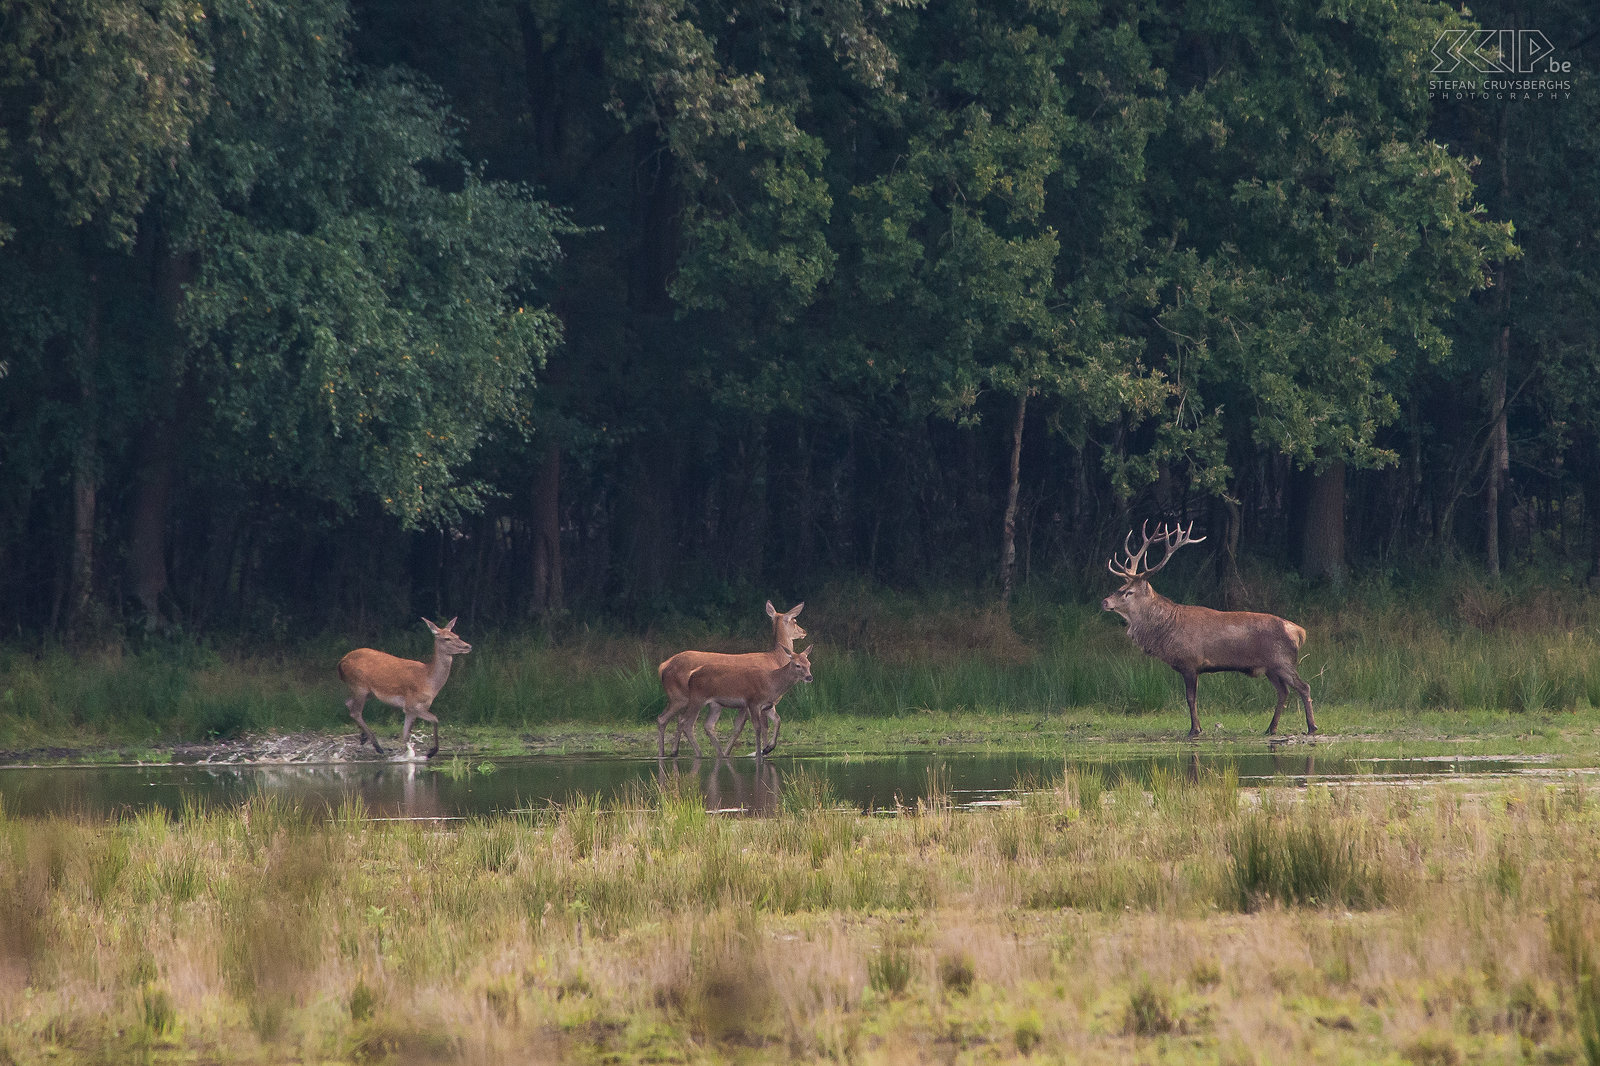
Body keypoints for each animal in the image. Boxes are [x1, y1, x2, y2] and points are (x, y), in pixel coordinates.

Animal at [340, 614, 470, 755]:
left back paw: (364, 737)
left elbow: (405, 735)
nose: (468, 646)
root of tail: (341, 662)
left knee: (348, 702)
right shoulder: (411, 705)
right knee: (355, 712)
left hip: (367, 692)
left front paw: (408, 754)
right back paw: (377, 746)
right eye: (447, 638)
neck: (429, 680)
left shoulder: (411, 710)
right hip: (360, 686)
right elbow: (435, 719)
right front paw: (431, 752)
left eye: (457, 635)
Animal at [656, 598, 800, 755]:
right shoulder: (756, 700)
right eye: (795, 620)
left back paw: (670, 752)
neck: (775, 660)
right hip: (680, 696)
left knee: (673, 719)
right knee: (668, 719)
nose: (804, 631)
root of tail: (663, 665)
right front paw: (762, 750)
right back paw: (672, 752)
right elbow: (761, 727)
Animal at [681, 643, 819, 758]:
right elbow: (757, 727)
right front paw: (759, 753)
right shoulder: (753, 702)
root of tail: (692, 674)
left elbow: (778, 721)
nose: (809, 677)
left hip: (715, 704)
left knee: (708, 725)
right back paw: (698, 753)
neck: (771, 684)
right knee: (686, 722)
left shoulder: (768, 706)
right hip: (697, 698)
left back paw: (721, 754)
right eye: (798, 665)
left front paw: (768, 748)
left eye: (809, 664)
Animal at [1100, 518, 1312, 736]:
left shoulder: (1190, 662)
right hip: (1271, 667)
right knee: (1283, 691)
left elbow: (1190, 698)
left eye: (1128, 592)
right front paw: (1198, 727)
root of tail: (1299, 632)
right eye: (1119, 588)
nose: (1105, 602)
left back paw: (1311, 727)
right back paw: (1271, 728)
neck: (1166, 631)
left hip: (1282, 661)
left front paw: (1195, 729)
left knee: (1304, 686)